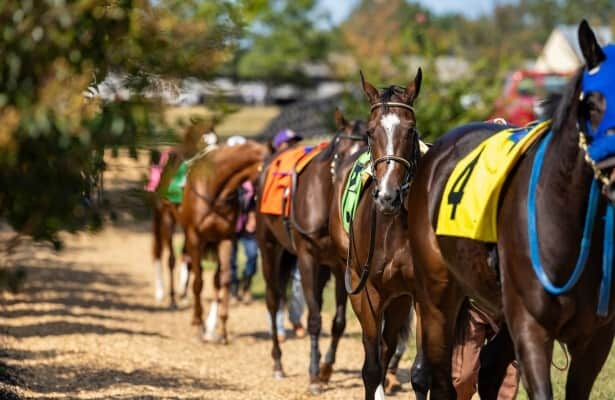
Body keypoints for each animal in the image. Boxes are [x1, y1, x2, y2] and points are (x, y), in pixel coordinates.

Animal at [179, 139, 268, 342]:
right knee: (188, 264)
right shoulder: (195, 237)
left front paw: (222, 330)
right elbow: (198, 281)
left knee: (216, 279)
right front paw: (198, 326)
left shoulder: (225, 238)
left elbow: (225, 278)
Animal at [256, 110, 368, 394]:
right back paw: (278, 363)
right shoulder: (307, 258)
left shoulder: (340, 267)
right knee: (273, 300)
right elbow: (315, 318)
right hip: (269, 248)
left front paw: (326, 369)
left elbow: (338, 321)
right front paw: (314, 377)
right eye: (340, 153)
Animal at [330, 72, 430, 400]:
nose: (388, 196)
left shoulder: (419, 295)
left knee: (387, 347)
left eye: (410, 130)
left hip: (399, 299)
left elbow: (421, 373)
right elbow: (370, 368)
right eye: (371, 132)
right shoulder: (366, 292)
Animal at [406, 20, 615, 398]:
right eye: (592, 103)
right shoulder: (532, 326)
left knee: (489, 368)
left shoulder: (597, 335)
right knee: (442, 378)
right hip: (436, 297)